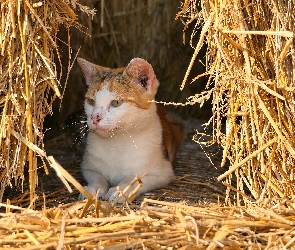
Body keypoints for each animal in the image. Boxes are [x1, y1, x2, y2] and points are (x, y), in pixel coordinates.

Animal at [77, 57, 183, 202]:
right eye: (91, 102)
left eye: (116, 102)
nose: (94, 118)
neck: (117, 140)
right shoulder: (88, 167)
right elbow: (97, 178)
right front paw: (93, 189)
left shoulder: (163, 173)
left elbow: (136, 179)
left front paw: (121, 190)